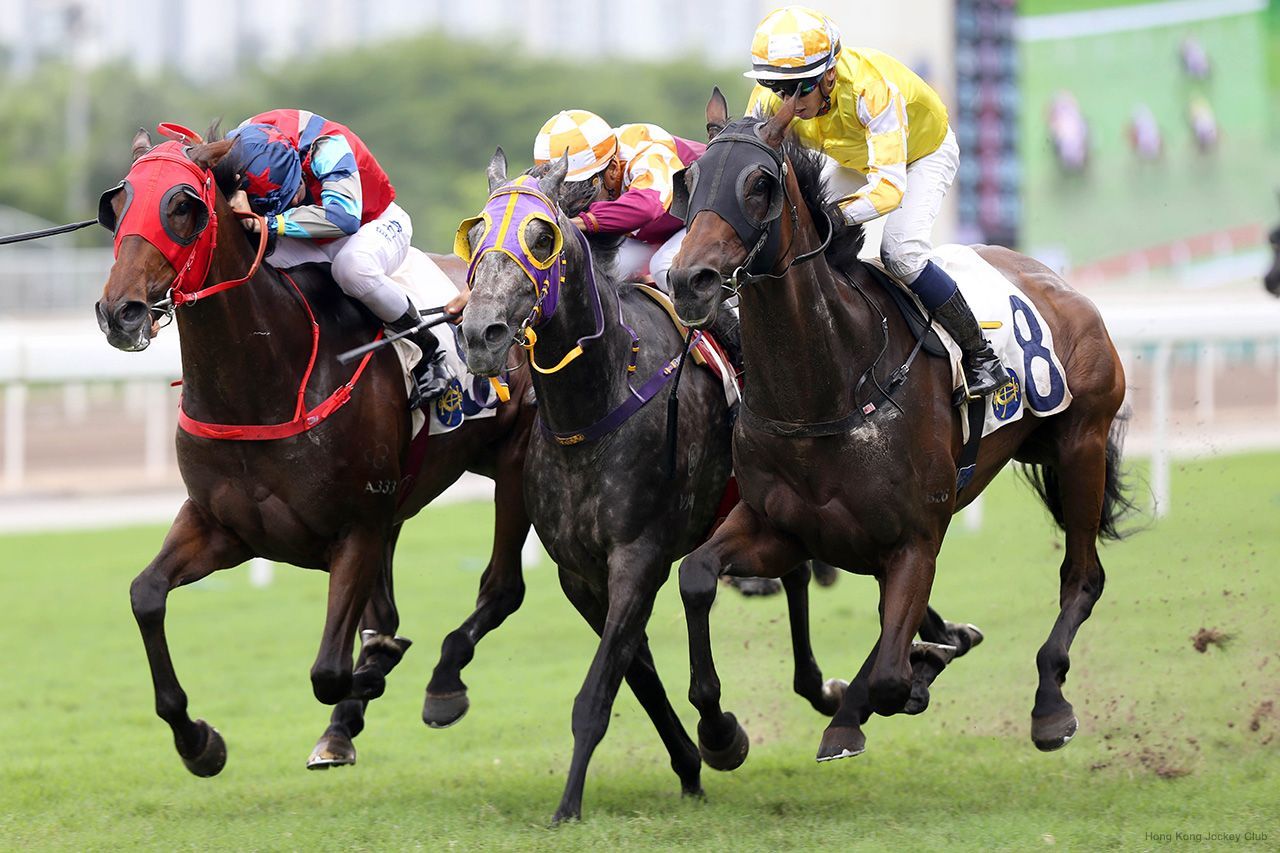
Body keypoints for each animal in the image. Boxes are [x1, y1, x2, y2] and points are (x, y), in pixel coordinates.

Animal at [94, 126, 536, 775]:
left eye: (181, 205)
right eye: (118, 202)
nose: (119, 311)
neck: (262, 384)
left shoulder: (355, 528)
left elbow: (330, 669)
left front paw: (375, 673)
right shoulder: (222, 525)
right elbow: (145, 595)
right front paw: (199, 742)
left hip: (512, 461)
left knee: (502, 586)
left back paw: (441, 685)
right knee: (388, 613)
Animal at [455, 149, 857, 822]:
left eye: (541, 237)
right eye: (476, 234)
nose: (479, 332)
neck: (596, 405)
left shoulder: (638, 556)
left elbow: (597, 693)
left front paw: (568, 805)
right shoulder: (581, 576)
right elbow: (635, 671)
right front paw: (695, 760)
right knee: (798, 574)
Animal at [667, 91, 1134, 763]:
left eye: (759, 184)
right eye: (691, 179)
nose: (689, 280)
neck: (826, 390)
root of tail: (1060, 283)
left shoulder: (914, 539)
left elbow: (890, 670)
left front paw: (906, 677)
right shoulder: (780, 528)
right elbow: (696, 575)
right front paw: (720, 729)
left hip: (1081, 445)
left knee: (1083, 577)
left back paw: (1050, 704)